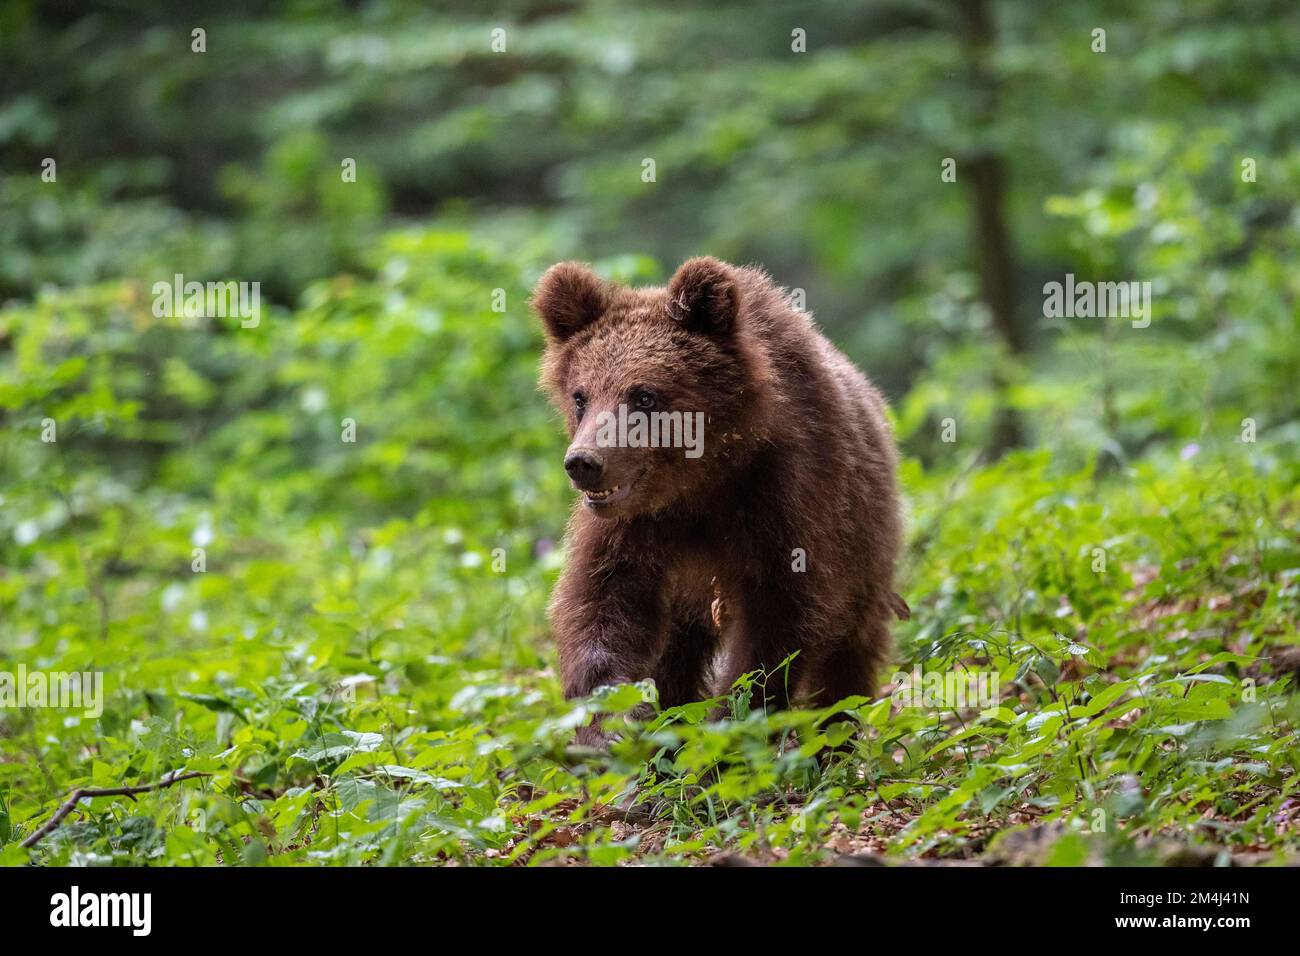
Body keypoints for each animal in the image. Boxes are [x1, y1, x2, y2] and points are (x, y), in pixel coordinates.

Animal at [532, 257, 905, 746]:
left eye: (644, 395)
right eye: (581, 396)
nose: (583, 463)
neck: (700, 482)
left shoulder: (785, 497)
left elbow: (777, 626)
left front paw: (729, 732)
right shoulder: (635, 526)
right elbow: (601, 603)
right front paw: (612, 725)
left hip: (866, 545)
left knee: (849, 654)